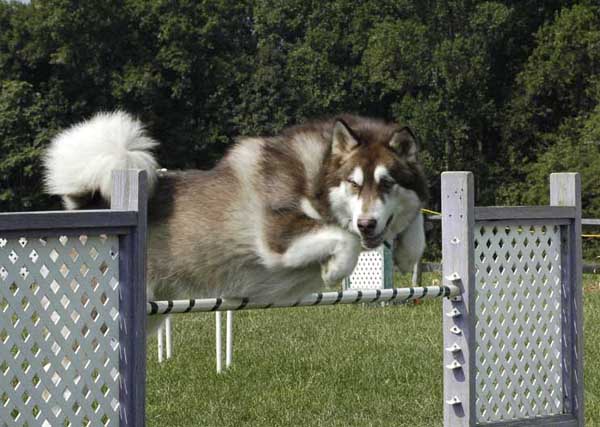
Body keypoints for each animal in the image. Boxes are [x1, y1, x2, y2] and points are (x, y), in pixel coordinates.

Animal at [44, 113, 428, 310]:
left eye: (387, 183)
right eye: (353, 183)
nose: (367, 223)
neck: (316, 176)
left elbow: (418, 223)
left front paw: (407, 251)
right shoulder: (277, 239)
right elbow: (343, 238)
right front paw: (334, 269)